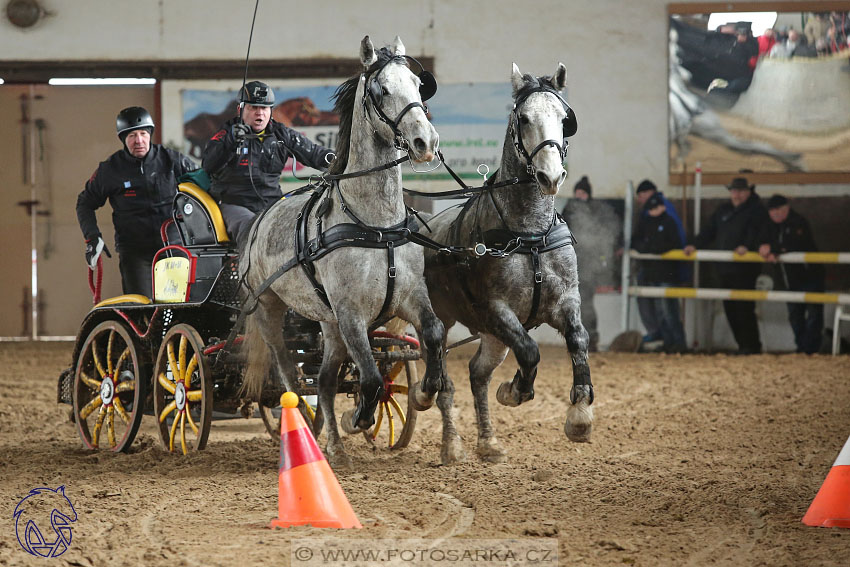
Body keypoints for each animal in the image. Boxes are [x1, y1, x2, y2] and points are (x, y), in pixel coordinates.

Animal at [240, 36, 448, 470]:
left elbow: (434, 332)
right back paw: (309, 428)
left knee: (324, 380)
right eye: (381, 90)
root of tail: (258, 221)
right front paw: (361, 418)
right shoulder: (351, 311)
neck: (377, 225)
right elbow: (369, 376)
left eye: (417, 86)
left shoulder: (410, 295)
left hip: (328, 323)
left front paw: (424, 392)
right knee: (290, 375)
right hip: (270, 311)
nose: (426, 143)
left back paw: (332, 444)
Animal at [420, 64, 592, 464]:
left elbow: (578, 339)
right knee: (442, 376)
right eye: (524, 118)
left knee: (477, 374)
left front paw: (579, 415)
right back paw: (450, 441)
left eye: (565, 119)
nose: (551, 176)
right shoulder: (497, 308)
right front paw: (515, 391)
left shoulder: (566, 300)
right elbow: (529, 350)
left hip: (491, 335)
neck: (530, 235)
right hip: (447, 319)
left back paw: (488, 443)